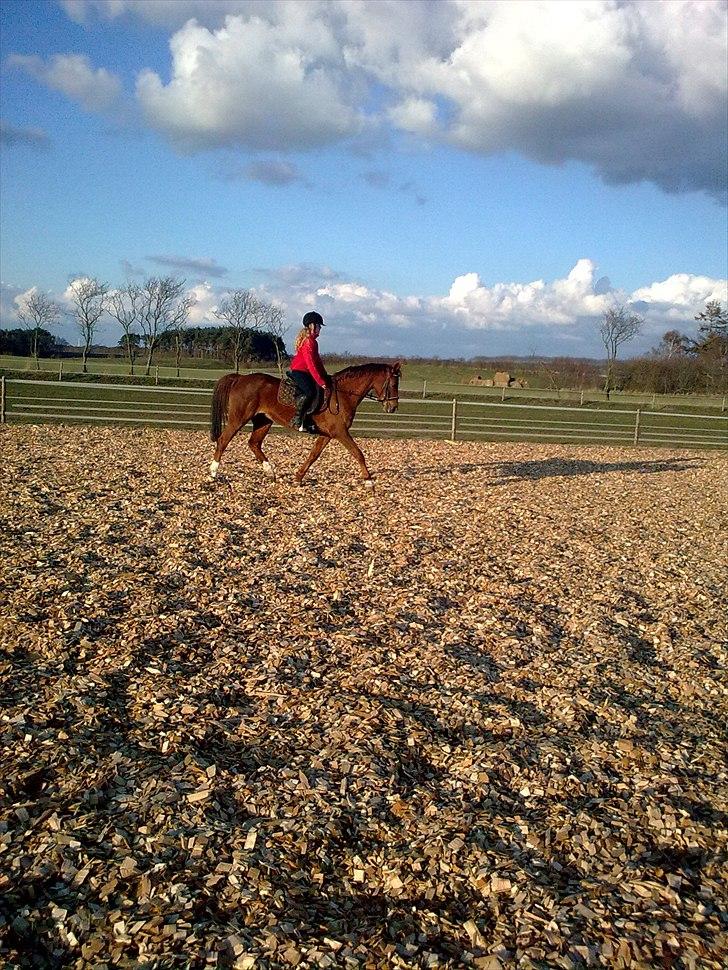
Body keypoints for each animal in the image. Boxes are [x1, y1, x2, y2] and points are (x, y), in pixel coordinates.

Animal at [210, 362, 400, 488]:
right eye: (393, 383)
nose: (393, 407)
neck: (343, 395)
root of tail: (240, 378)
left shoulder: (327, 434)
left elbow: (313, 455)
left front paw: (298, 478)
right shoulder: (340, 432)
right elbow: (358, 453)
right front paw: (369, 481)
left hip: (264, 420)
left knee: (254, 443)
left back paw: (270, 472)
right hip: (238, 418)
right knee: (223, 440)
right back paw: (213, 473)